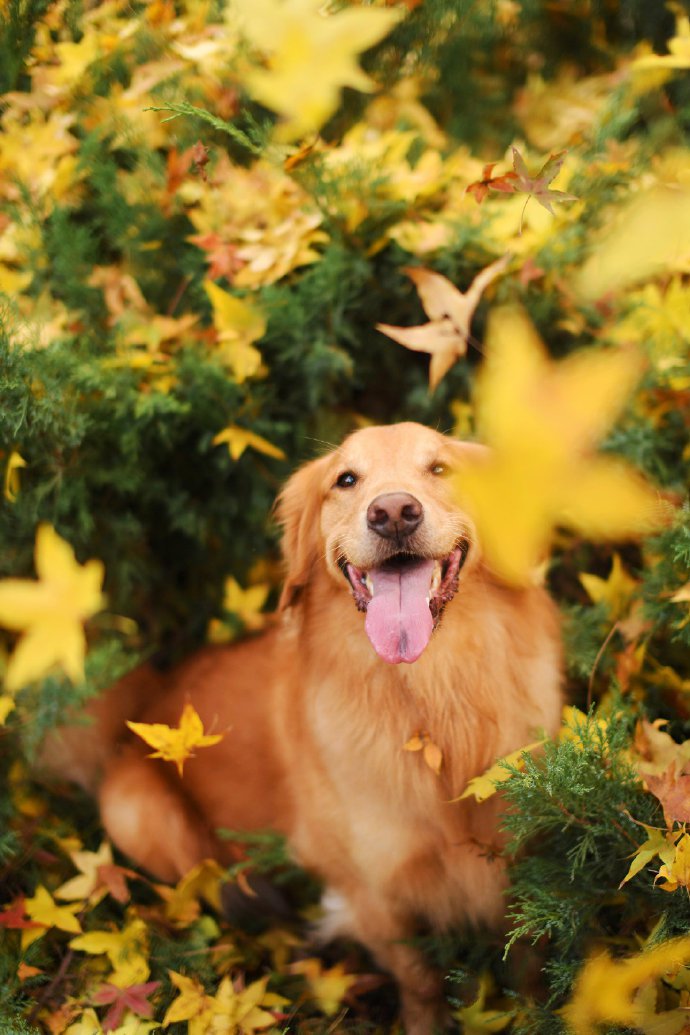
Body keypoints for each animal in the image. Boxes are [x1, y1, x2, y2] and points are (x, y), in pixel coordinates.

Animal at [44, 422, 562, 1035]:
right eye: (346, 479)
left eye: (439, 468)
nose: (393, 512)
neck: (432, 701)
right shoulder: (374, 891)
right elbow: (420, 981)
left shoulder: (519, 859)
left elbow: (528, 961)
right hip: (132, 809)